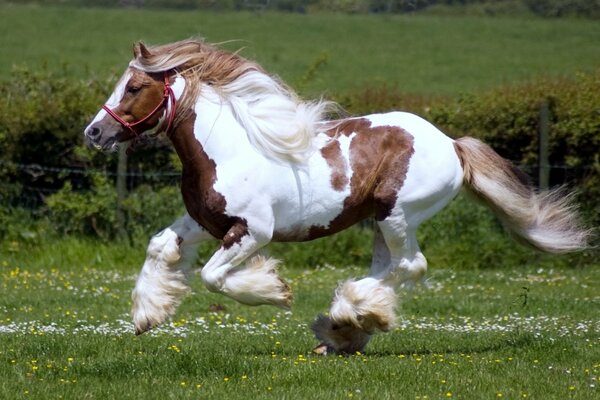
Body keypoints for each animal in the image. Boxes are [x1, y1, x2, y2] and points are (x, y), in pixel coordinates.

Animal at [84, 39, 592, 354]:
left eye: (134, 87)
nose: (94, 132)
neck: (228, 149)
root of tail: (451, 145)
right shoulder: (202, 222)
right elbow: (159, 247)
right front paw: (147, 315)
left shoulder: (252, 232)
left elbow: (212, 277)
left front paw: (274, 291)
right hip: (381, 223)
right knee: (391, 268)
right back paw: (345, 329)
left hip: (397, 215)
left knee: (410, 266)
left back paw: (346, 319)